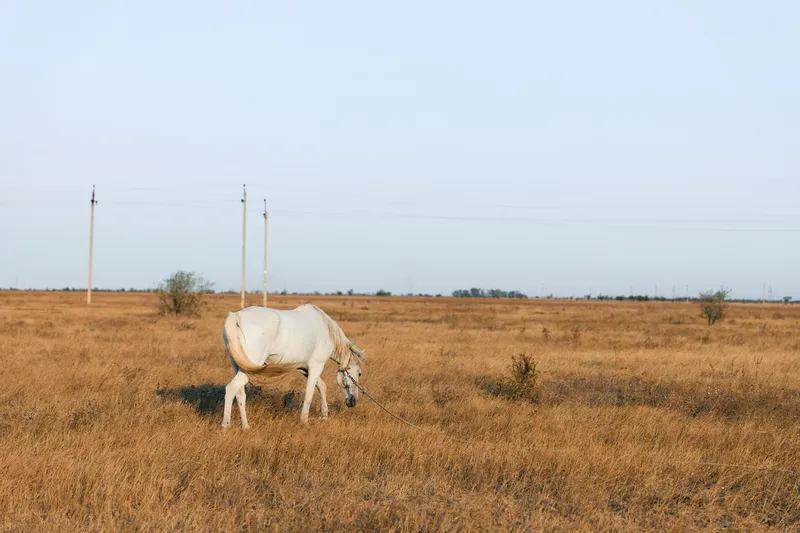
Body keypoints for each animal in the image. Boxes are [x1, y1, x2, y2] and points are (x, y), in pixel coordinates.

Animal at [220, 303, 365, 429]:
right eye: (359, 373)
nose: (354, 402)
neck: (326, 329)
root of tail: (236, 316)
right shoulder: (316, 366)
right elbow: (309, 395)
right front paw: (304, 421)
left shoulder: (304, 369)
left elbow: (322, 386)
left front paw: (324, 415)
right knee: (231, 388)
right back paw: (226, 425)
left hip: (240, 368)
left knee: (240, 394)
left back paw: (245, 427)